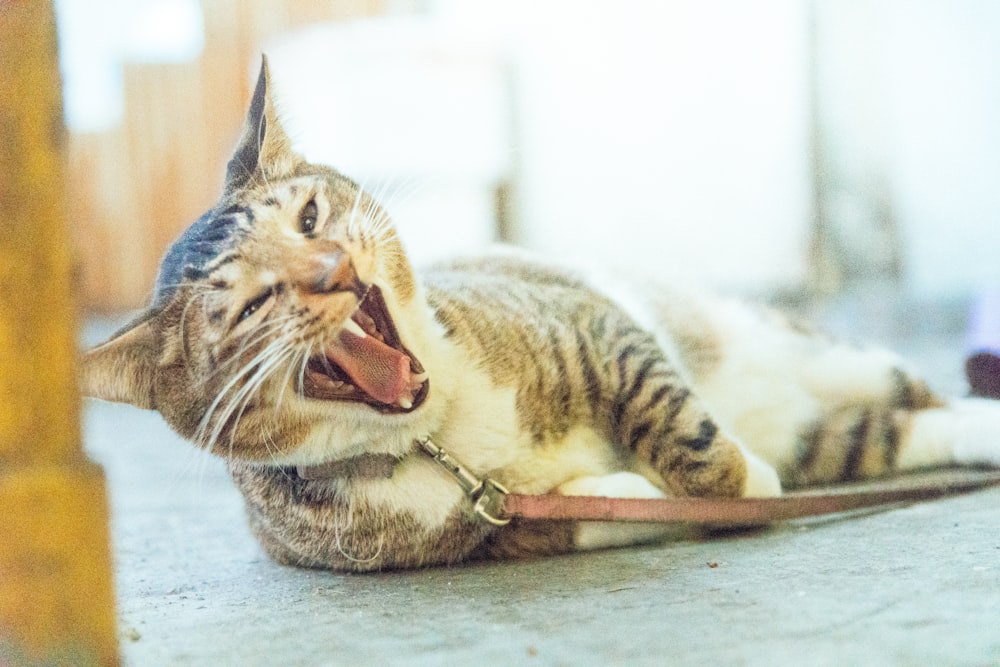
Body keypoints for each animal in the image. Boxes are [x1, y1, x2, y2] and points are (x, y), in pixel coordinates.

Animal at [82, 60, 1000, 576]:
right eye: (251, 303)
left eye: (309, 217)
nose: (335, 269)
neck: (444, 428)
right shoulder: (458, 536)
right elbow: (572, 521)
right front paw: (653, 492)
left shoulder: (593, 325)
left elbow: (673, 420)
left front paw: (733, 482)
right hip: (818, 423)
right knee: (879, 434)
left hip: (814, 352)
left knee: (907, 390)